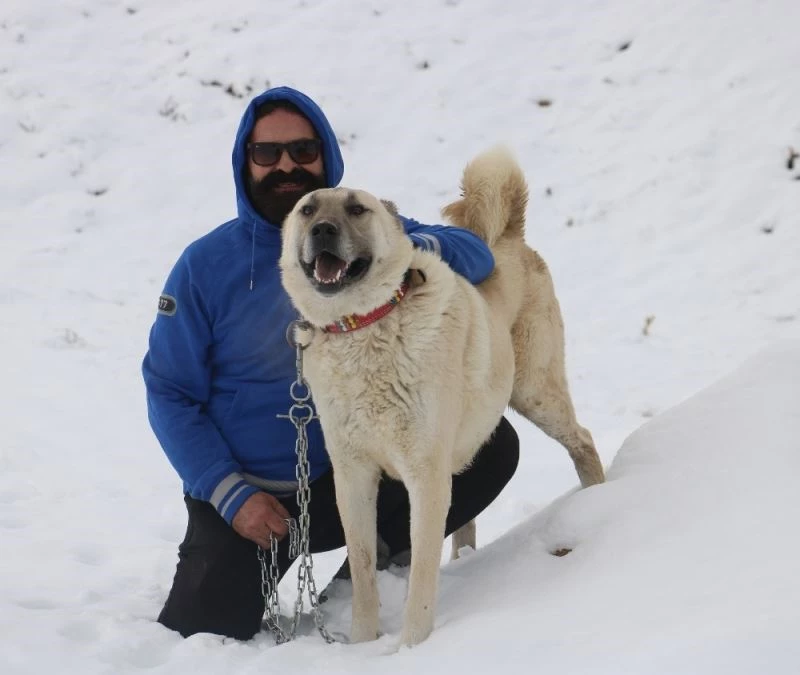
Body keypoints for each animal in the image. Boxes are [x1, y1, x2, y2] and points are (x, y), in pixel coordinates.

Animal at [279, 147, 605, 646]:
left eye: (357, 209)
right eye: (308, 209)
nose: (322, 231)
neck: (365, 327)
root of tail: (511, 235)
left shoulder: (425, 475)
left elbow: (420, 574)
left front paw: (412, 647)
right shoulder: (354, 477)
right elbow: (364, 570)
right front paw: (362, 643)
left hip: (535, 394)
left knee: (583, 439)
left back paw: (600, 497)